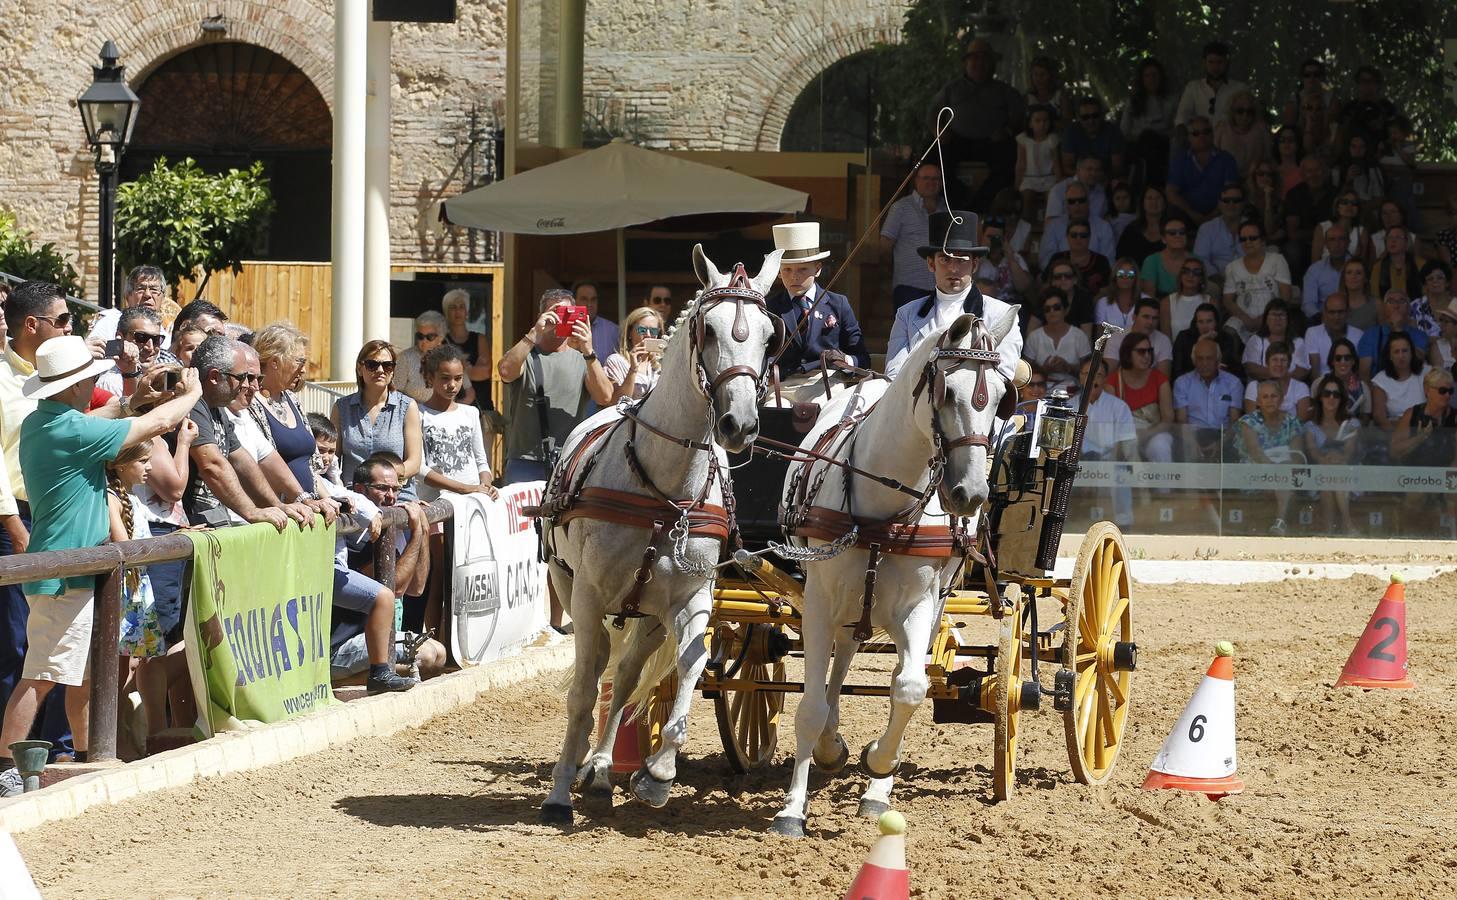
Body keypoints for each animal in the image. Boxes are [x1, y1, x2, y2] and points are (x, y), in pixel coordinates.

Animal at [539, 241, 786, 821]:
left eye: (770, 336)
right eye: (708, 330)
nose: (740, 425)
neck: (663, 493)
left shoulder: (693, 596)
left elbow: (693, 668)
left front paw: (657, 774)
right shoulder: (587, 596)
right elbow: (583, 692)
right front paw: (559, 792)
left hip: (648, 612)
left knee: (628, 674)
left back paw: (602, 770)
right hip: (571, 586)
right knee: (601, 674)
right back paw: (580, 770)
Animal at [769, 308, 1019, 833]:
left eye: (1000, 397)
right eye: (946, 391)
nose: (969, 494)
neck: (883, 506)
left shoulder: (918, 605)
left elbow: (908, 689)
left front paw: (878, 771)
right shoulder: (819, 603)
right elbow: (810, 705)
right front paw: (792, 808)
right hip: (845, 606)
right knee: (838, 666)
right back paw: (829, 745)